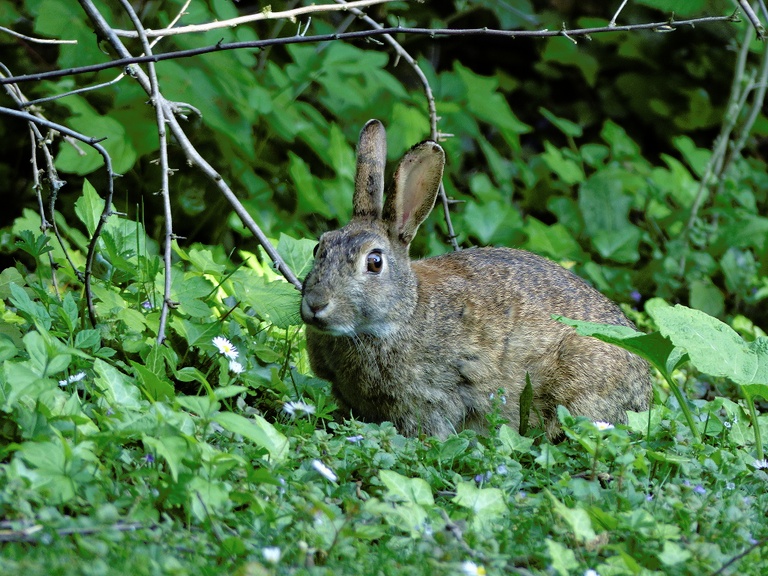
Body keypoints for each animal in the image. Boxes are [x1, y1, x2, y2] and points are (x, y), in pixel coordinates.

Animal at [300, 119, 652, 439]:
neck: (404, 314)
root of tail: (645, 384)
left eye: (374, 263)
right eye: (319, 248)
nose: (315, 305)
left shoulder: (434, 397)